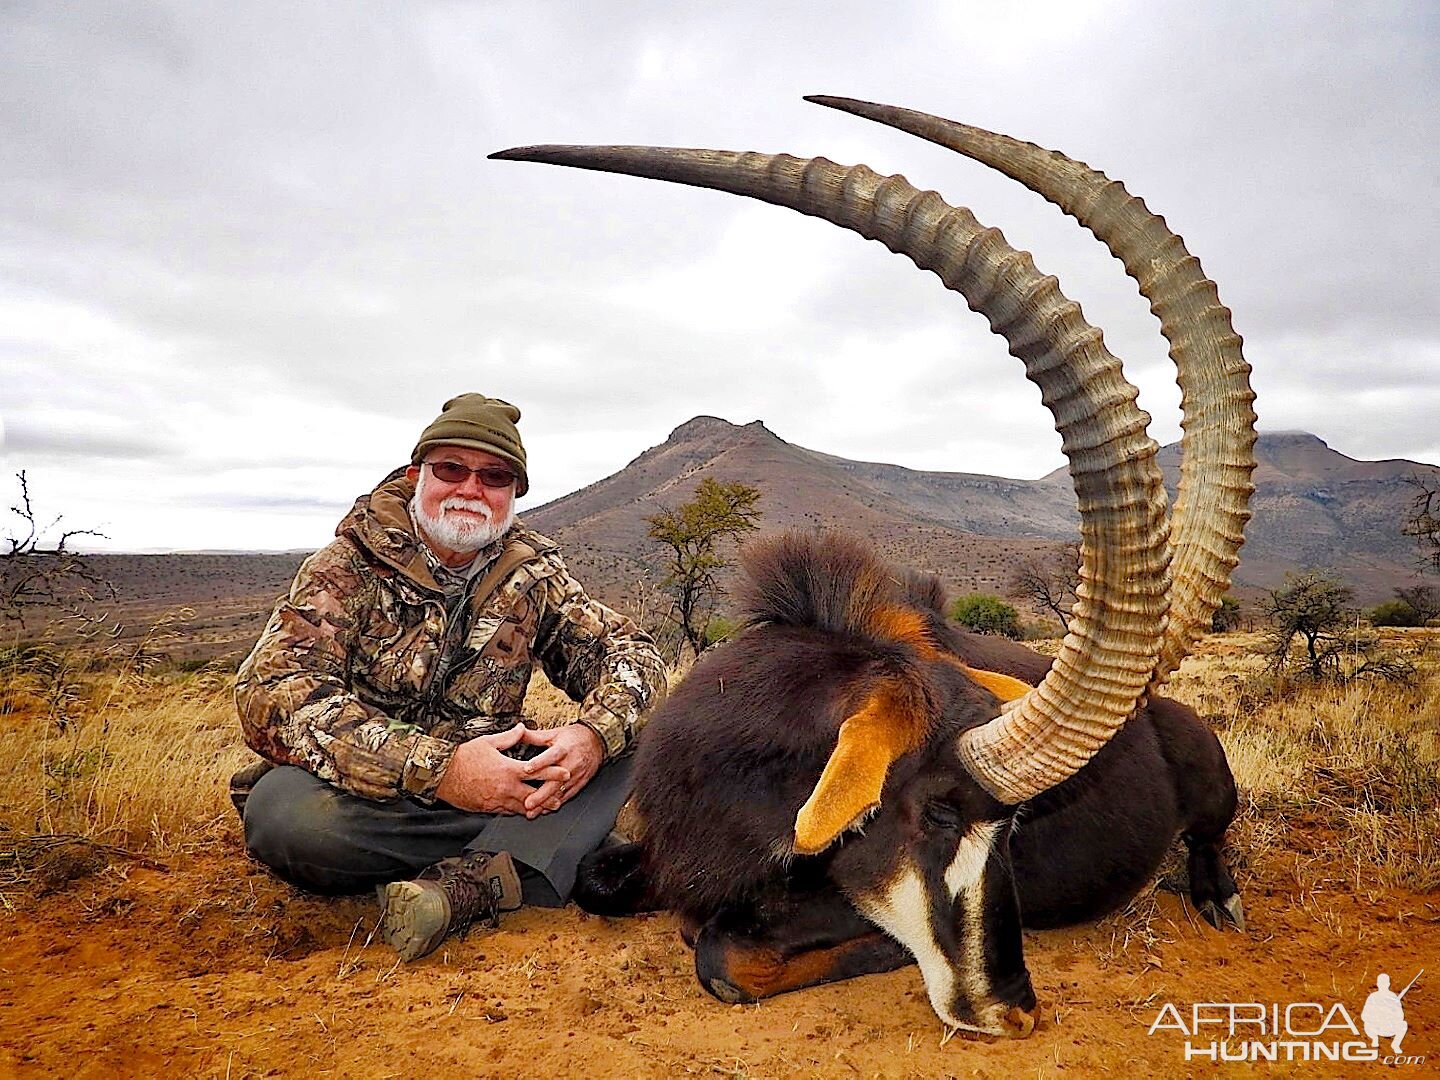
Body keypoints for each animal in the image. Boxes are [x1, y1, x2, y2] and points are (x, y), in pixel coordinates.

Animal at [489, 95, 1255, 1042]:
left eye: (1014, 829)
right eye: (937, 812)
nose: (1013, 1010)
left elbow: (726, 953)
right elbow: (606, 887)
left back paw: (1217, 897)